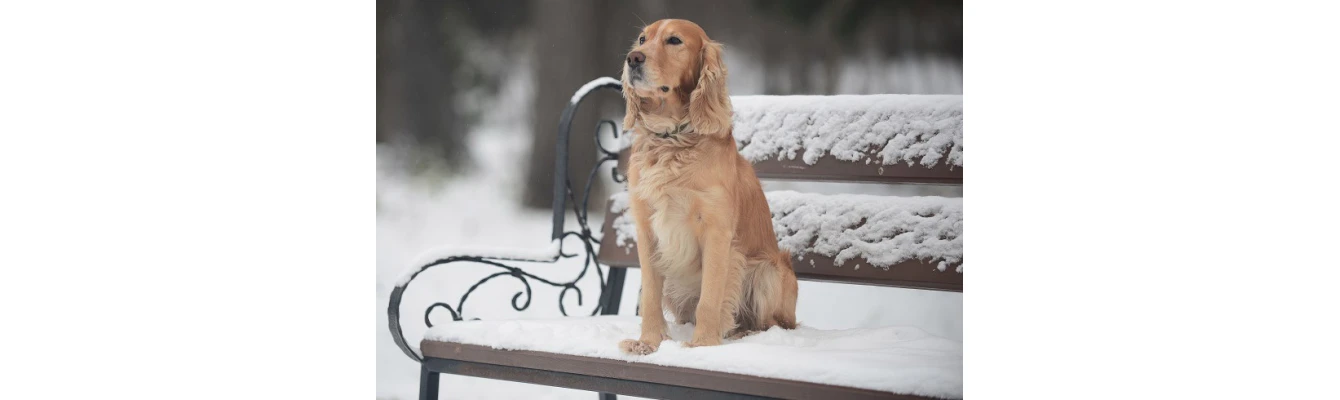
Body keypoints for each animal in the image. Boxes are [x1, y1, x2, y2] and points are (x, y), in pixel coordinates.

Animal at [616, 19, 793, 358]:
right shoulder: (647, 230)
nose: (633, 58)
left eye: (674, 40)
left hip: (768, 271)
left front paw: (703, 345)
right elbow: (650, 297)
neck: (671, 139)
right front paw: (649, 342)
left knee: (772, 324)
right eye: (643, 39)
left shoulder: (716, 232)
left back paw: (740, 333)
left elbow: (711, 297)